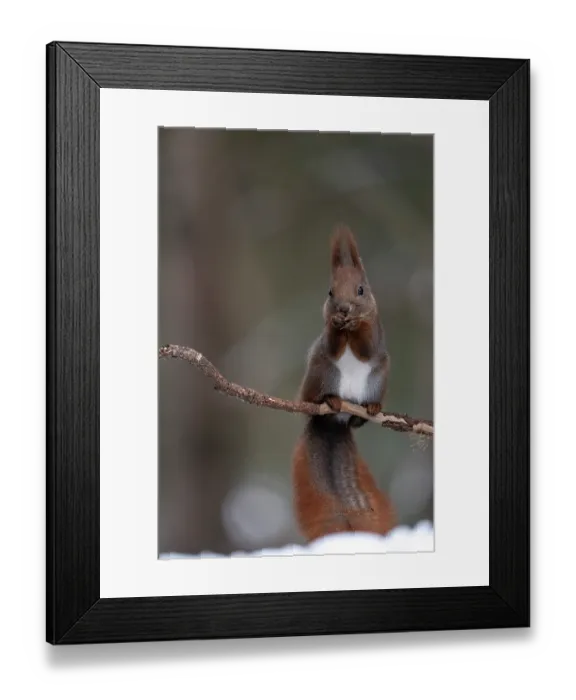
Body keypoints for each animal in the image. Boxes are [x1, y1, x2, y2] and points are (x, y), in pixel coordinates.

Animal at [291, 224, 397, 542]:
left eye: (361, 289)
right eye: (330, 292)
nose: (344, 308)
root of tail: (333, 421)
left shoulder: (376, 334)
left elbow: (366, 345)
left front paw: (356, 325)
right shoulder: (327, 341)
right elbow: (333, 342)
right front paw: (338, 324)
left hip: (378, 378)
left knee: (360, 414)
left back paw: (368, 410)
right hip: (323, 373)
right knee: (314, 397)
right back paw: (329, 400)